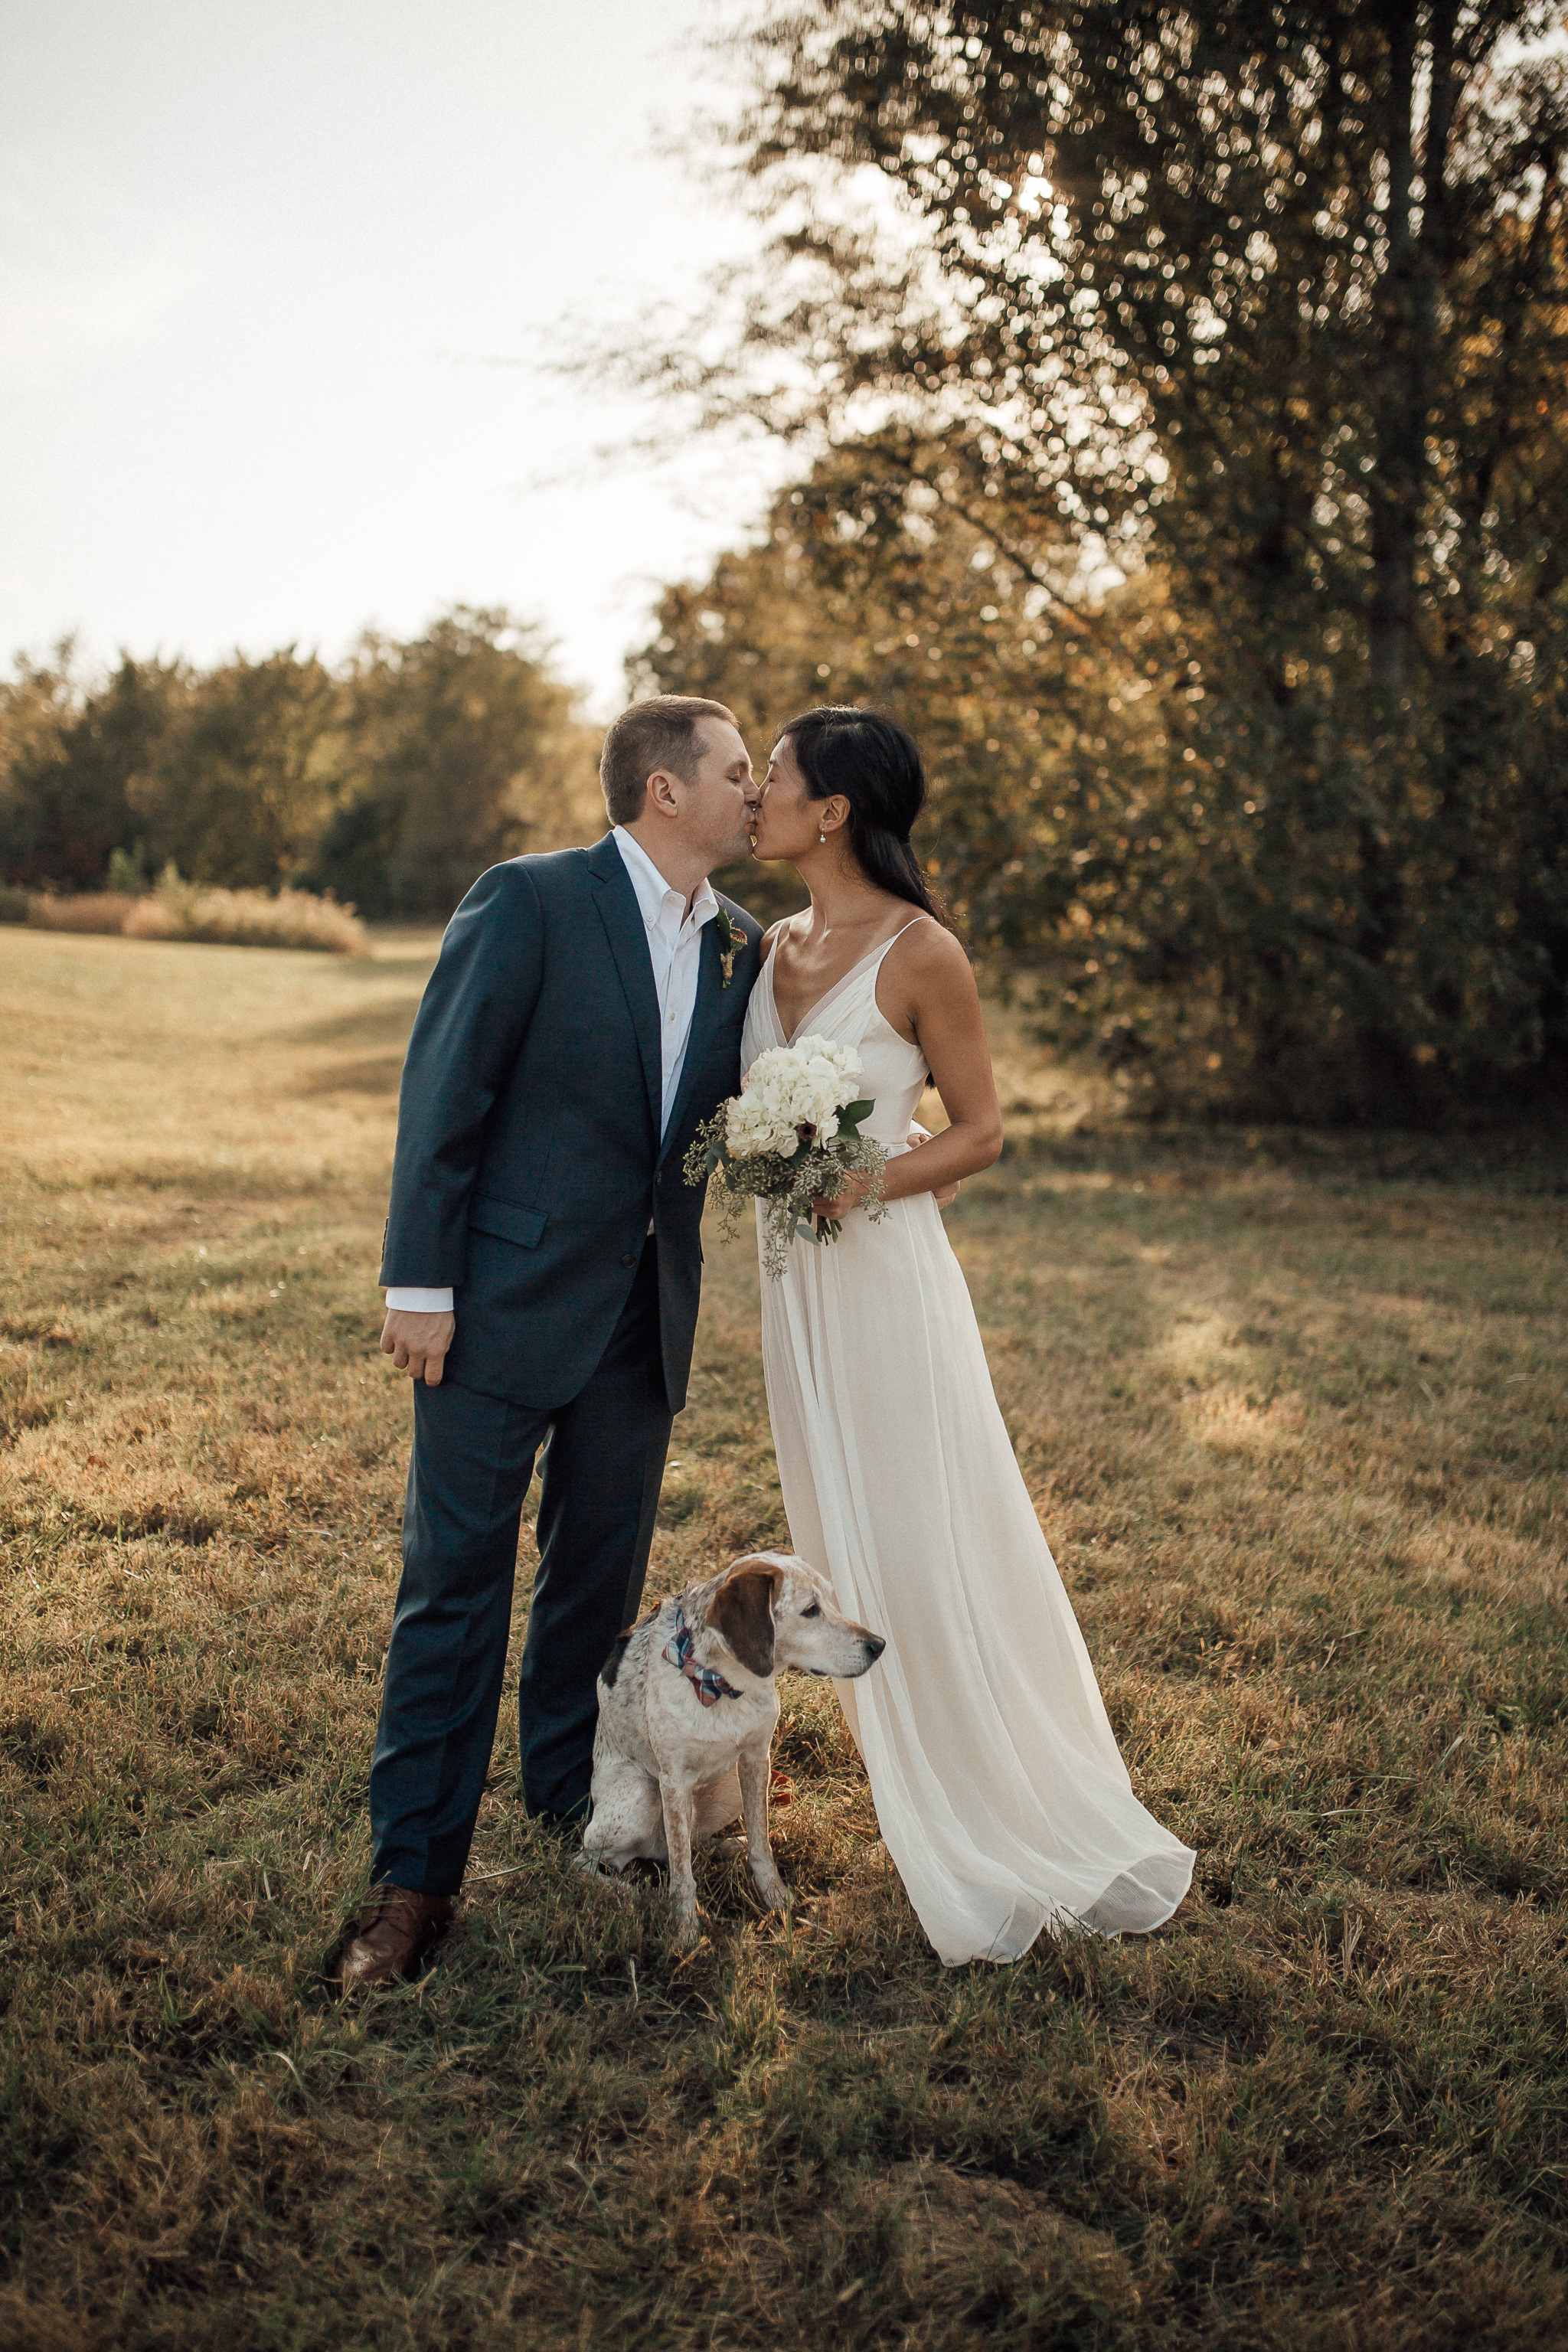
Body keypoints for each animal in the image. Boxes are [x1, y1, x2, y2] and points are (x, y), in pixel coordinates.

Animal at [583, 1552, 888, 1938]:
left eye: (831, 1601)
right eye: (809, 1610)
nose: (878, 1645)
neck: (722, 1685)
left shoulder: (757, 1759)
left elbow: (760, 1843)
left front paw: (777, 1900)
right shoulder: (673, 1782)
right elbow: (682, 1874)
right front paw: (686, 1929)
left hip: (728, 1784)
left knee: (692, 1843)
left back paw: (728, 1847)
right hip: (639, 1799)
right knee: (590, 1861)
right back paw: (639, 1896)